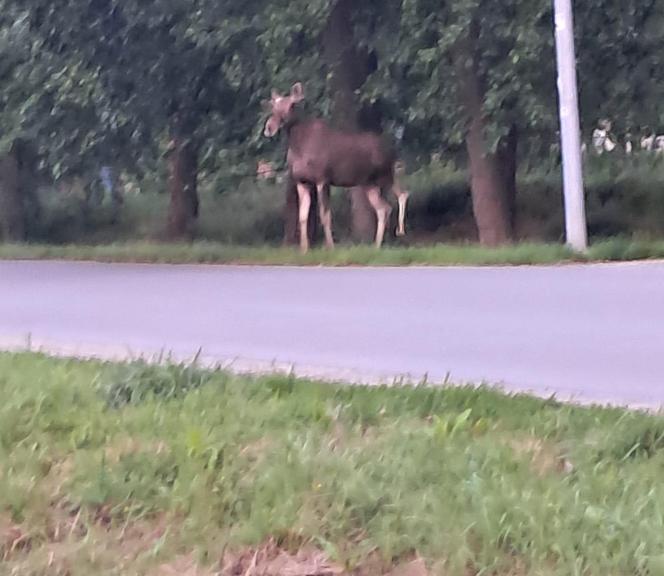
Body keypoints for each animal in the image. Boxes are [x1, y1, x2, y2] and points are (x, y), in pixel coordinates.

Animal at [262, 82, 408, 252]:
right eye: (273, 106)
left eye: (292, 105)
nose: (269, 128)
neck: (298, 147)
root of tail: (393, 150)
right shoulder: (301, 181)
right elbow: (303, 216)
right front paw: (304, 249)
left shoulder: (322, 179)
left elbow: (325, 215)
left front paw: (330, 247)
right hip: (369, 183)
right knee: (383, 208)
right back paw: (376, 245)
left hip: (385, 174)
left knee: (402, 195)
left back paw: (398, 232)